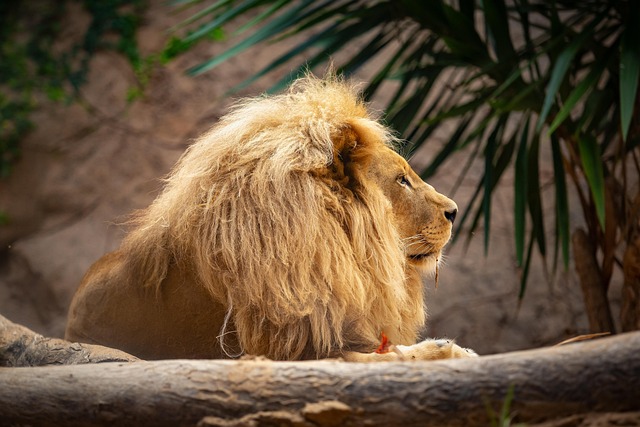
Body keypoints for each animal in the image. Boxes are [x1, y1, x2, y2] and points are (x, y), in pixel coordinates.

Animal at [65, 74, 476, 362]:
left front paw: (450, 348)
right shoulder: (292, 344)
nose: (455, 211)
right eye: (402, 180)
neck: (339, 240)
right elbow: (381, 358)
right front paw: (447, 350)